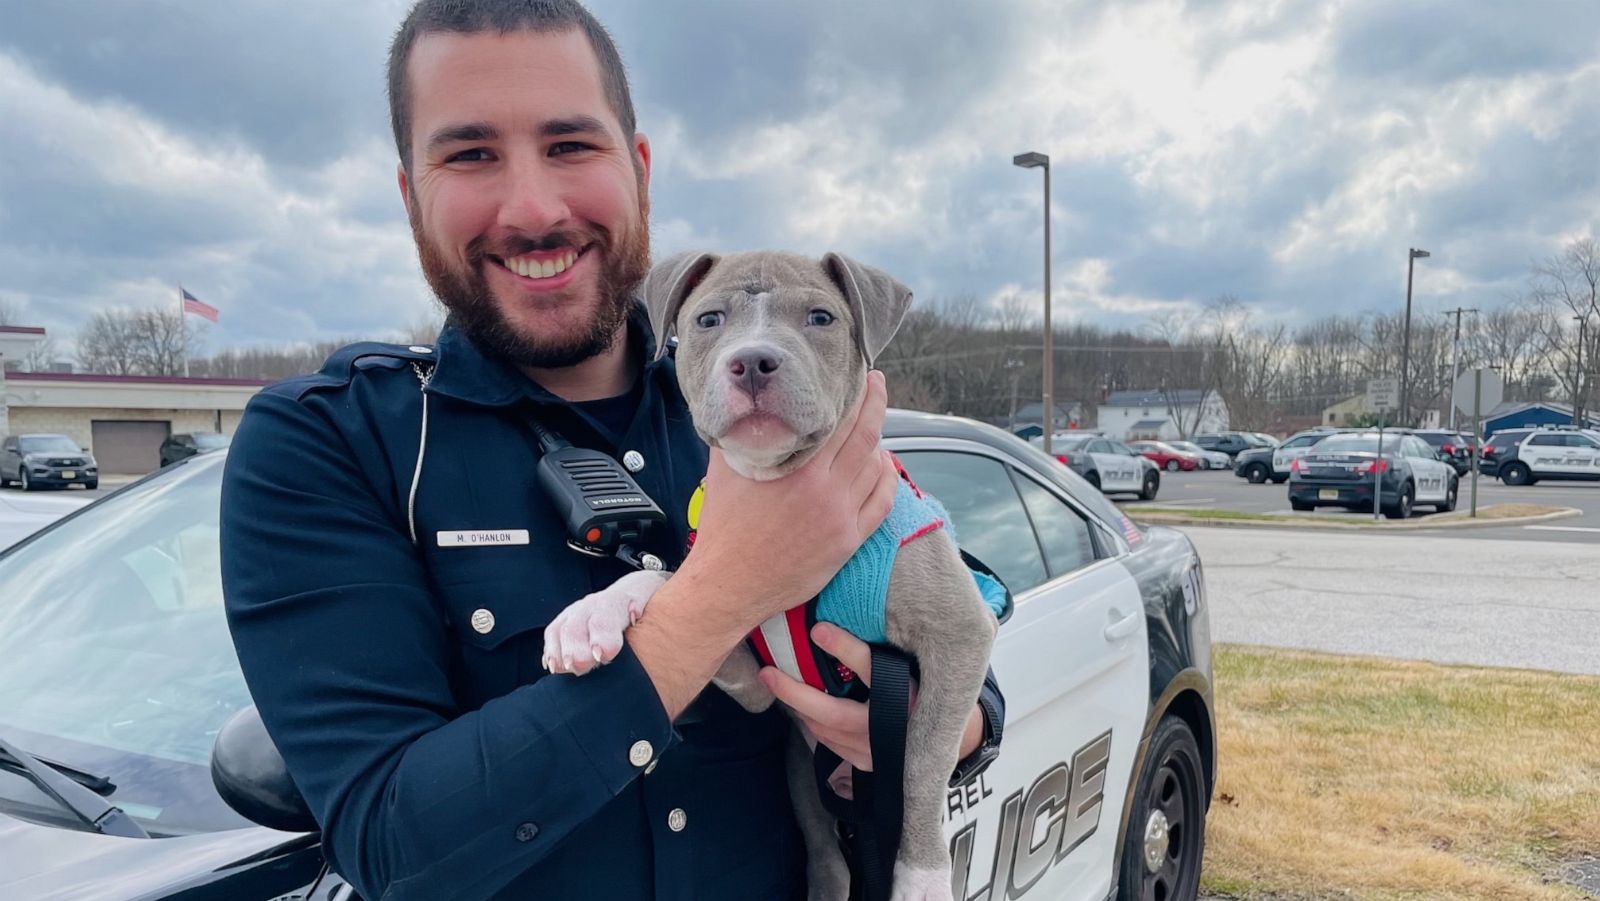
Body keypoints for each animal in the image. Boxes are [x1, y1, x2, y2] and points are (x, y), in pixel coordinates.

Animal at [550, 248, 998, 901]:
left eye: (821, 318)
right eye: (709, 320)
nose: (753, 361)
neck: (772, 479)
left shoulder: (961, 633)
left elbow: (921, 760)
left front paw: (922, 876)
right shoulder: (755, 680)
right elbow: (667, 581)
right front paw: (592, 615)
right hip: (802, 777)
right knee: (828, 857)